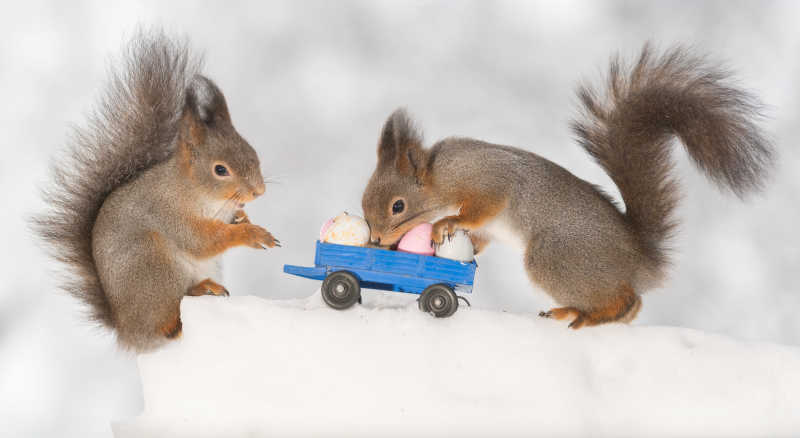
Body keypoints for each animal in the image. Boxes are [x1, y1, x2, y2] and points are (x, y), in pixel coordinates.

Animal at [32, 31, 278, 352]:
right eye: (220, 170)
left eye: (252, 151)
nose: (258, 191)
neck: (197, 192)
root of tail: (128, 330)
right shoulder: (168, 212)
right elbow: (201, 240)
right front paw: (251, 234)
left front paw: (243, 219)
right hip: (154, 264)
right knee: (166, 322)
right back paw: (183, 309)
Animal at [362, 45, 776, 328]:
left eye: (398, 206)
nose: (378, 241)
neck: (441, 175)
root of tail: (640, 258)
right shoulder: (488, 226)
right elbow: (480, 236)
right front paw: (460, 244)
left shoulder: (490, 180)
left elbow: (480, 207)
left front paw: (443, 224)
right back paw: (570, 311)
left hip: (555, 257)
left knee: (627, 301)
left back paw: (594, 316)